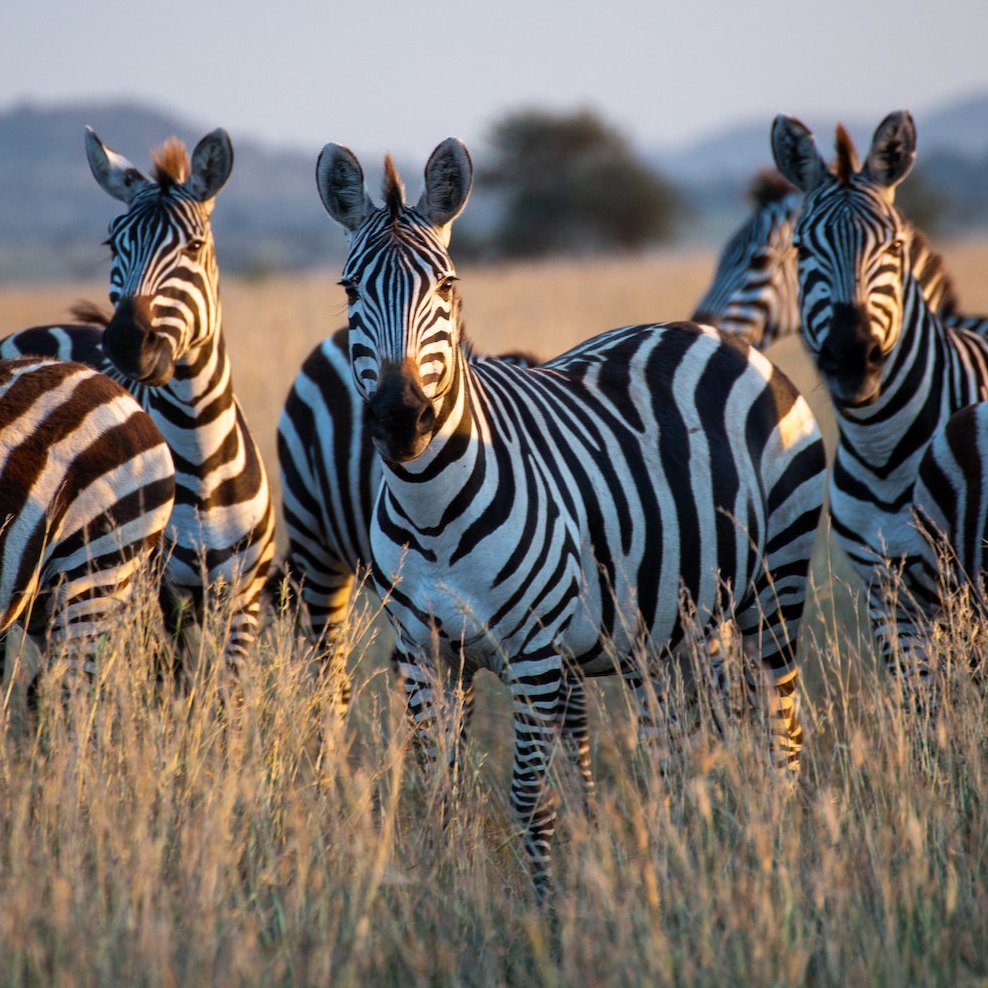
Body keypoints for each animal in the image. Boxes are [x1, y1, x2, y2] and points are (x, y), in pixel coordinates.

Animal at [314, 133, 824, 896]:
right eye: (350, 290)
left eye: (448, 287)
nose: (402, 420)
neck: (431, 510)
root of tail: (719, 338)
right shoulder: (423, 652)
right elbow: (438, 791)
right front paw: (441, 894)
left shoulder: (534, 654)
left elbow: (530, 796)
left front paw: (545, 910)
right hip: (675, 626)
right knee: (678, 749)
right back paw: (681, 858)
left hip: (774, 588)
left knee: (778, 732)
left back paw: (781, 856)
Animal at [772, 110, 988, 704]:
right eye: (801, 250)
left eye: (893, 248)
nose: (852, 356)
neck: (882, 445)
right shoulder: (888, 595)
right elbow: (922, 710)